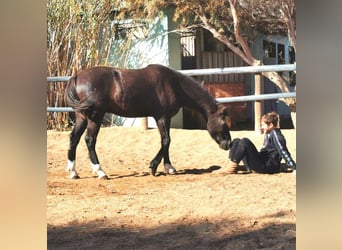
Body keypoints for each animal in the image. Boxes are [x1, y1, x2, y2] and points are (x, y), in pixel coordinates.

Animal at [64, 63, 232, 179]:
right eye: (224, 123)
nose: (228, 144)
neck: (174, 85)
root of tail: (76, 77)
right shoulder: (161, 117)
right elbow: (166, 140)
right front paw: (153, 167)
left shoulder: (167, 118)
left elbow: (167, 142)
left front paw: (169, 167)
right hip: (95, 117)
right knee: (89, 140)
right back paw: (100, 171)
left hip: (82, 117)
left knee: (74, 139)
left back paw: (73, 172)